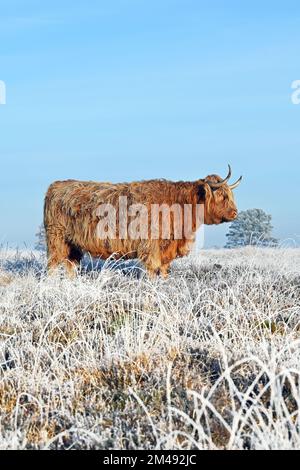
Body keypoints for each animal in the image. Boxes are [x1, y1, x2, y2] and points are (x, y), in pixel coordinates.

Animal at [44, 165, 241, 278]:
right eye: (222, 196)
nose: (235, 213)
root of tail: (56, 185)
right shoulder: (151, 247)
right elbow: (153, 270)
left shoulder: (166, 249)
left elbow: (164, 271)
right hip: (57, 241)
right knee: (53, 266)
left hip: (72, 246)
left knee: (70, 266)